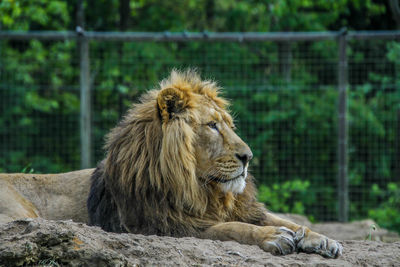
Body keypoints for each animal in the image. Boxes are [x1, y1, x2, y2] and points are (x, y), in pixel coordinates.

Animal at [88, 70, 344, 258]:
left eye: (230, 126)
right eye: (212, 125)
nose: (248, 156)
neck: (201, 190)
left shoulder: (244, 209)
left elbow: (285, 220)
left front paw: (321, 238)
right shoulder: (168, 226)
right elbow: (231, 228)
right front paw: (272, 236)